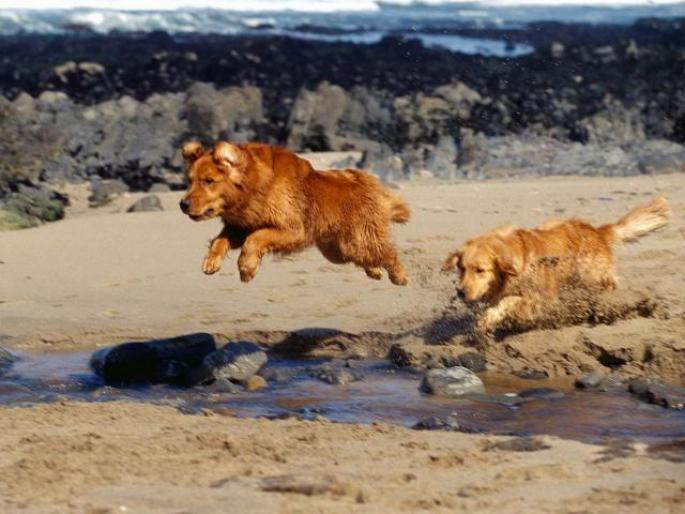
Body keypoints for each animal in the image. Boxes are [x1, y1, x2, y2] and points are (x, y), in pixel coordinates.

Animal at [179, 140, 408, 284]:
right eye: (190, 181)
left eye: (208, 181)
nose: (183, 204)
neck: (256, 188)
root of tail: (370, 181)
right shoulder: (241, 226)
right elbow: (220, 241)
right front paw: (211, 261)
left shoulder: (293, 229)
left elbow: (255, 239)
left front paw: (247, 268)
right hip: (338, 250)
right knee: (367, 257)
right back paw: (375, 270)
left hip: (359, 238)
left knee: (387, 252)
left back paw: (400, 276)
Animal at [440, 194, 672, 330]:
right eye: (461, 269)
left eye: (480, 270)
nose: (461, 292)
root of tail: (596, 231)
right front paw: (485, 319)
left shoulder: (540, 299)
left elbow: (511, 301)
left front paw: (491, 316)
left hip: (591, 275)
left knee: (610, 283)